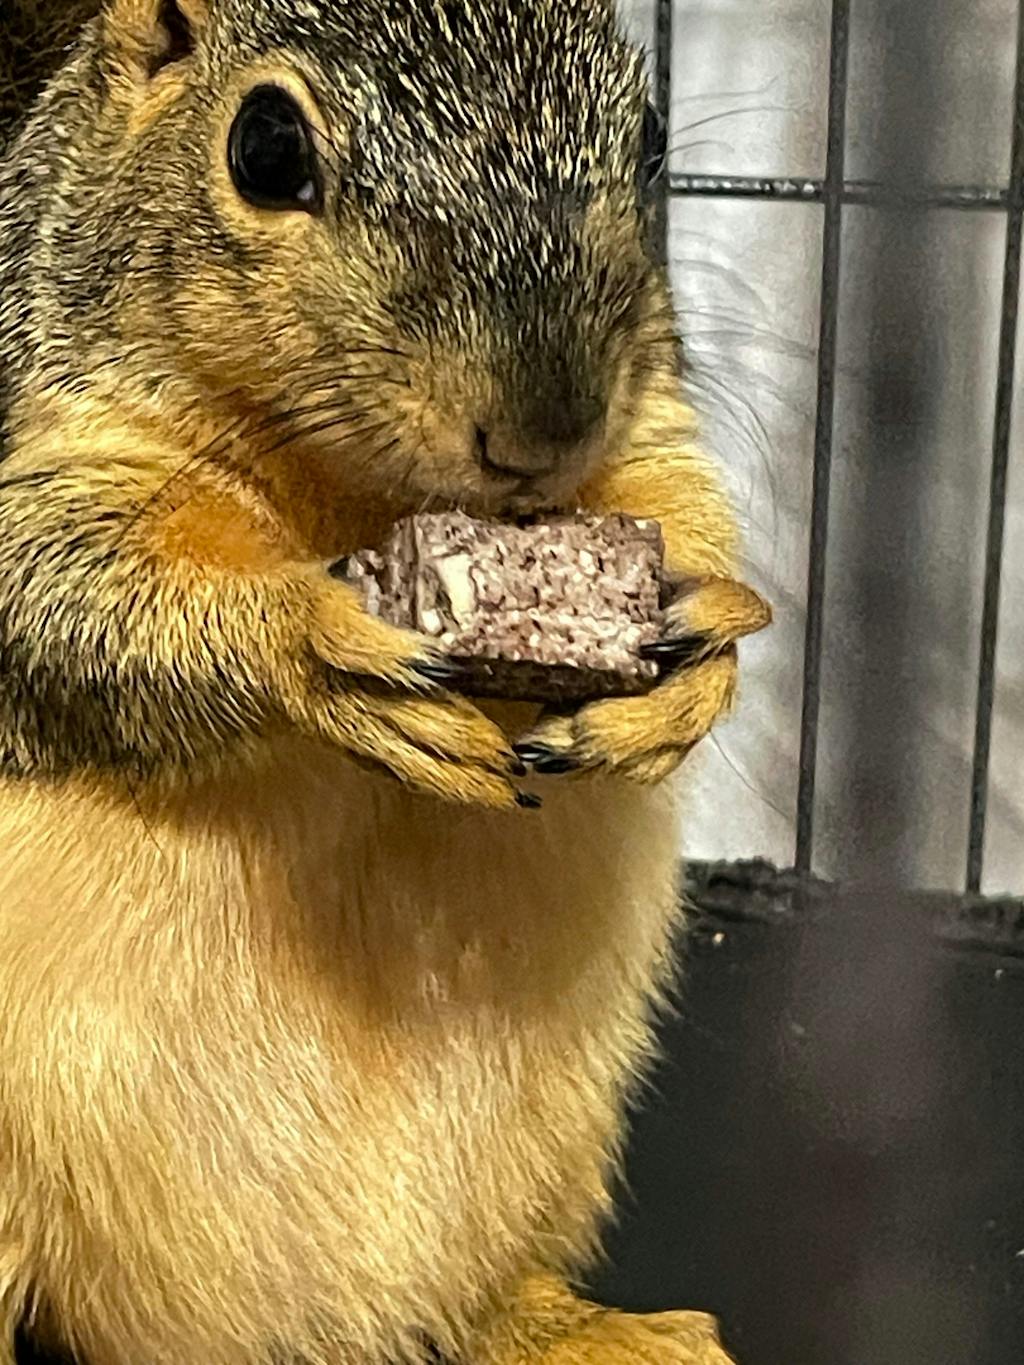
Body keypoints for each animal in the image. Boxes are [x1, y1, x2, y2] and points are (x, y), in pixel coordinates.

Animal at [0, 2, 771, 1363]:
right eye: (264, 148)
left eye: (649, 132)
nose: (544, 431)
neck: (350, 489)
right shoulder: (45, 430)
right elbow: (62, 598)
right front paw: (318, 645)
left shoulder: (652, 411)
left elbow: (673, 491)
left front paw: (700, 653)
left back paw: (583, 1328)